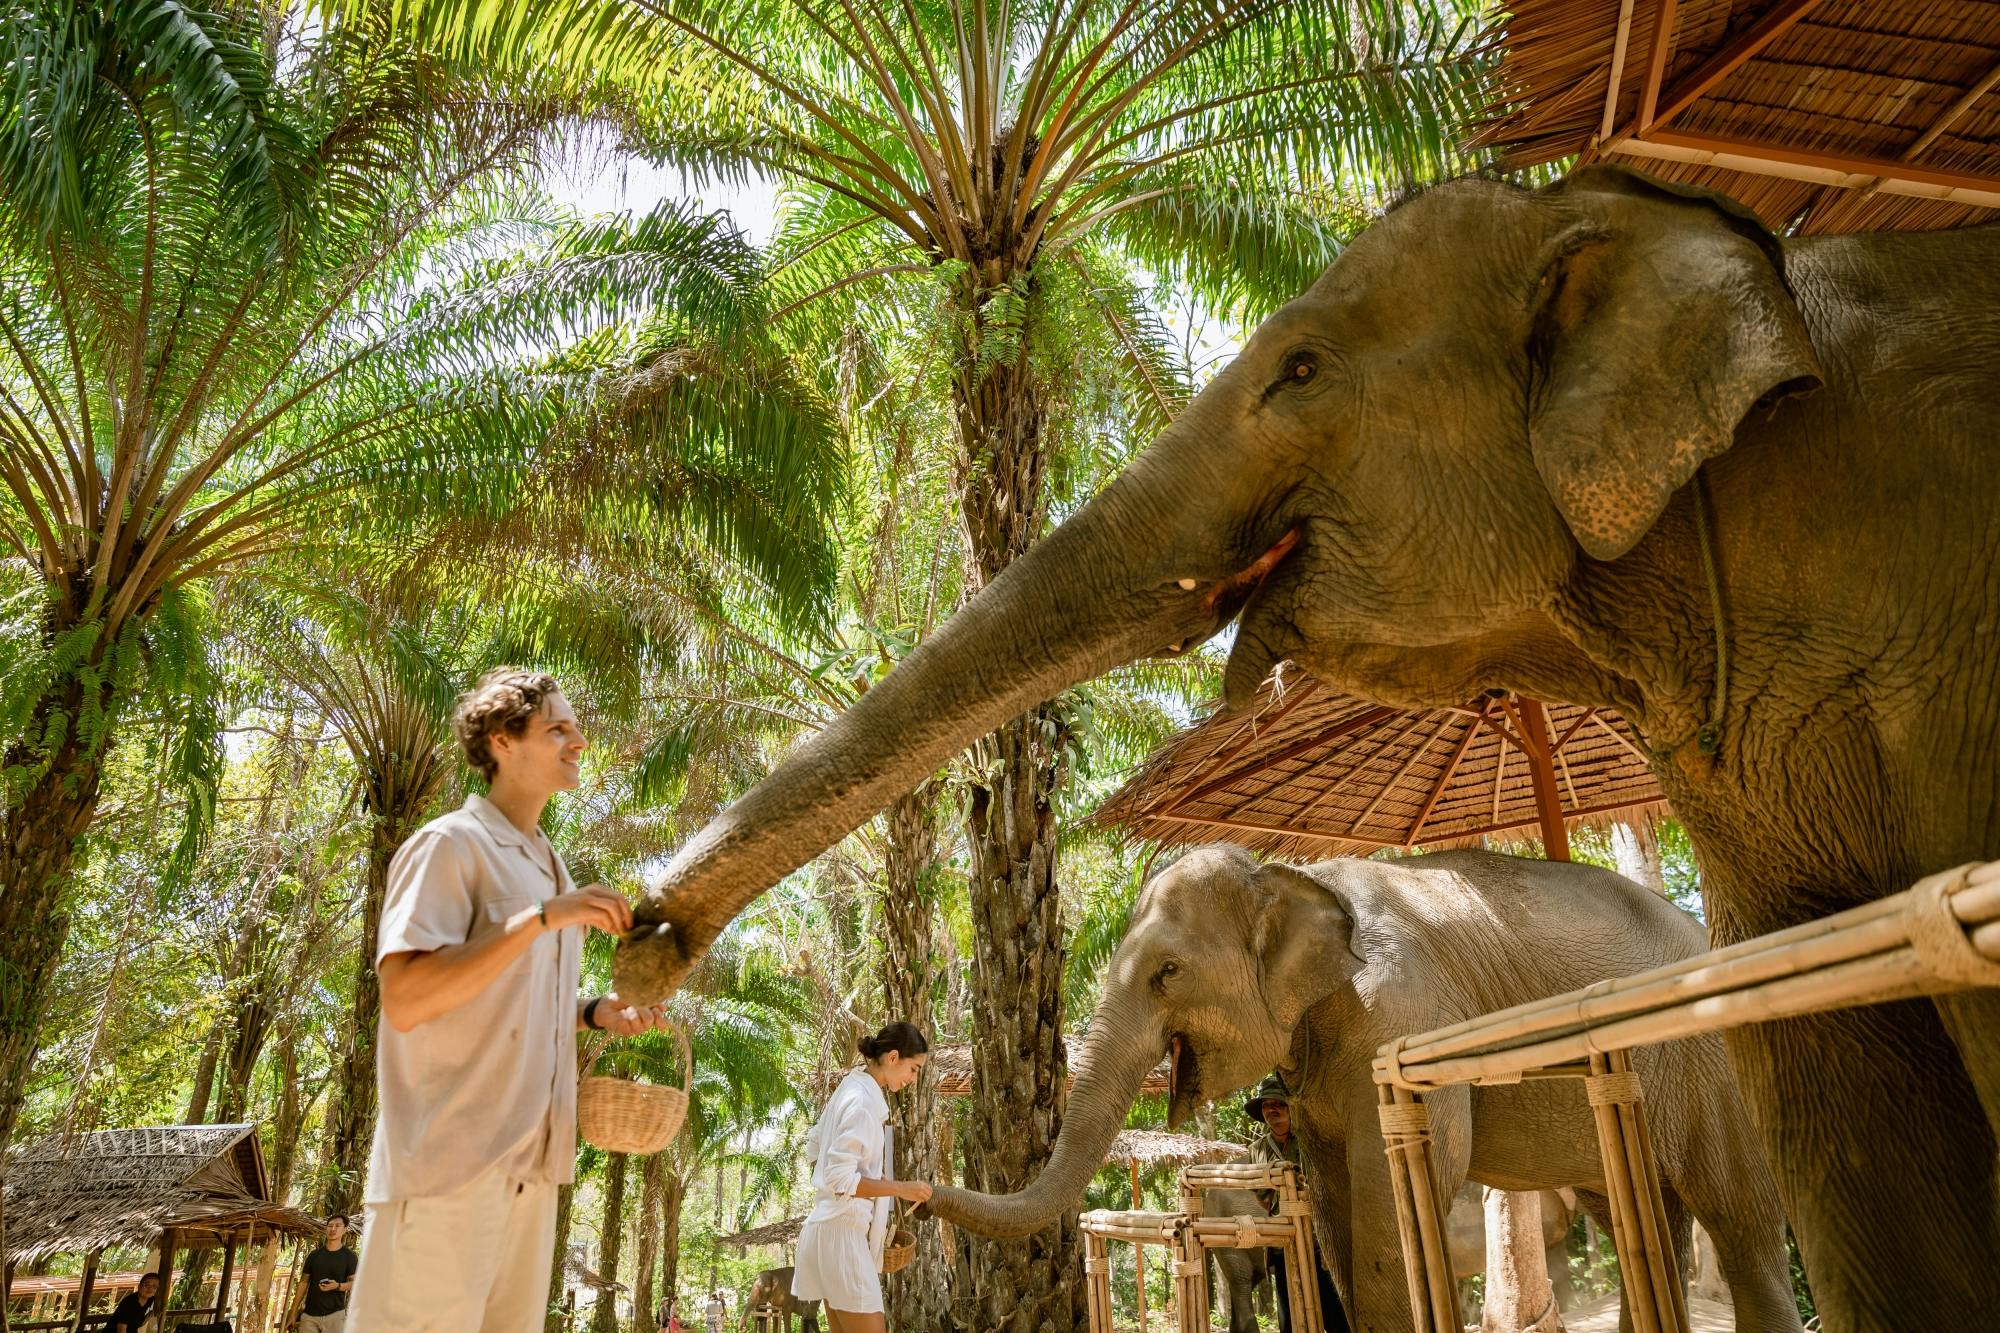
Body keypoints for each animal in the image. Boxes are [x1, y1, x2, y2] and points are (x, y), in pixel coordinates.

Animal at [615, 163, 2000, 1327]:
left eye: (1298, 369)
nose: (642, 941)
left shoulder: (1401, 1014)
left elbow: (1397, 1207)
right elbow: (1343, 1208)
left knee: (1732, 1211)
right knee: (1649, 1207)